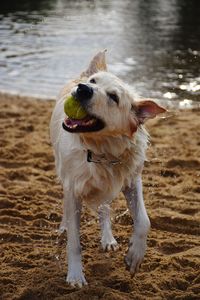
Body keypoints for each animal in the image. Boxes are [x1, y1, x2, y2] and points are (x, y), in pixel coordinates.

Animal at [49, 50, 166, 288]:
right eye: (94, 82)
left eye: (113, 97)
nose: (83, 88)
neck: (101, 150)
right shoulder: (74, 187)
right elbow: (74, 241)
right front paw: (75, 275)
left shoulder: (131, 179)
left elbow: (144, 221)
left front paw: (134, 256)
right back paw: (64, 226)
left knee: (105, 209)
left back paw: (108, 239)